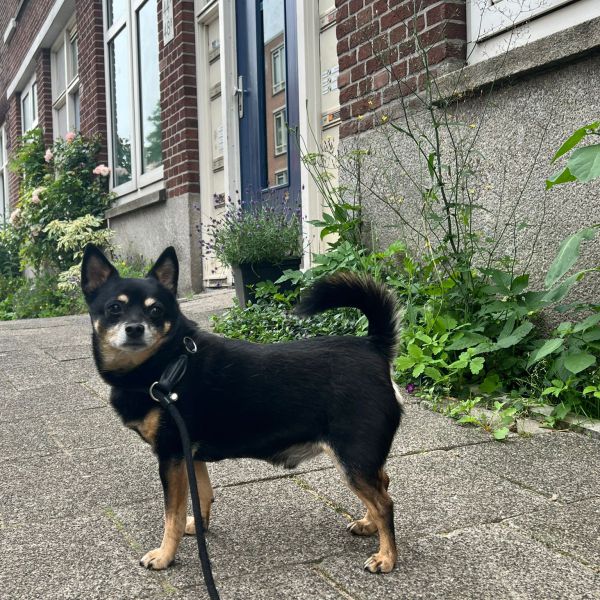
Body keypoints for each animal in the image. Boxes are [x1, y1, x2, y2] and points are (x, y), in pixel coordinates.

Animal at [79, 244, 404, 572]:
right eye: (114, 308)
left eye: (155, 310)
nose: (134, 328)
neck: (168, 364)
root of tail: (374, 346)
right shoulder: (188, 454)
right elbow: (202, 494)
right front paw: (199, 526)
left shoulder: (171, 455)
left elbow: (172, 514)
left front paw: (165, 555)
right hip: (361, 459)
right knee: (383, 484)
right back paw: (368, 525)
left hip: (352, 458)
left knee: (385, 503)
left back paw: (387, 556)